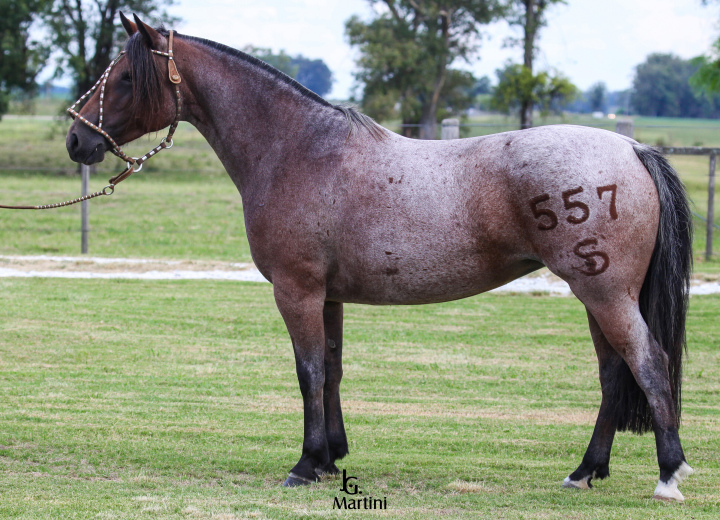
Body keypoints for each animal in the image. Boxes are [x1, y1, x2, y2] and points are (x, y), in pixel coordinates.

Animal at [64, 16, 696, 502]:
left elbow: (308, 371)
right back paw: (585, 471)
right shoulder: (329, 296)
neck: (299, 149)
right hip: (596, 295)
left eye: (125, 77)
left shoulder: (296, 290)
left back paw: (668, 476)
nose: (76, 140)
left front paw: (304, 465)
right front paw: (329, 459)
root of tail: (632, 148)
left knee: (648, 363)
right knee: (614, 373)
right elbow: (333, 369)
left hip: (604, 292)